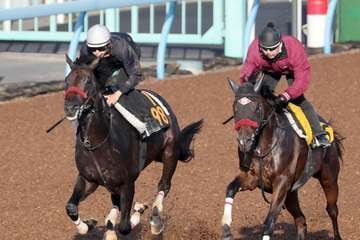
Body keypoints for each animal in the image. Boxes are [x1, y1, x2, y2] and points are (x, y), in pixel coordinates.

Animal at [62, 55, 202, 239]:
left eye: (88, 80)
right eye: (66, 80)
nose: (70, 107)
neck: (98, 142)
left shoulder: (127, 183)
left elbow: (125, 226)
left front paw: (139, 212)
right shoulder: (88, 179)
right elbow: (71, 207)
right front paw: (89, 225)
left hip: (170, 152)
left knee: (163, 186)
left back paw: (154, 220)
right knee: (115, 203)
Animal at [219, 80, 344, 240]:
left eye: (257, 107)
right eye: (235, 108)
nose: (244, 141)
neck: (264, 147)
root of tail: (328, 129)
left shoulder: (282, 182)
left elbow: (269, 221)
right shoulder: (252, 179)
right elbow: (230, 189)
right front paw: (226, 230)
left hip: (329, 177)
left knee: (332, 210)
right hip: (291, 193)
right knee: (301, 219)